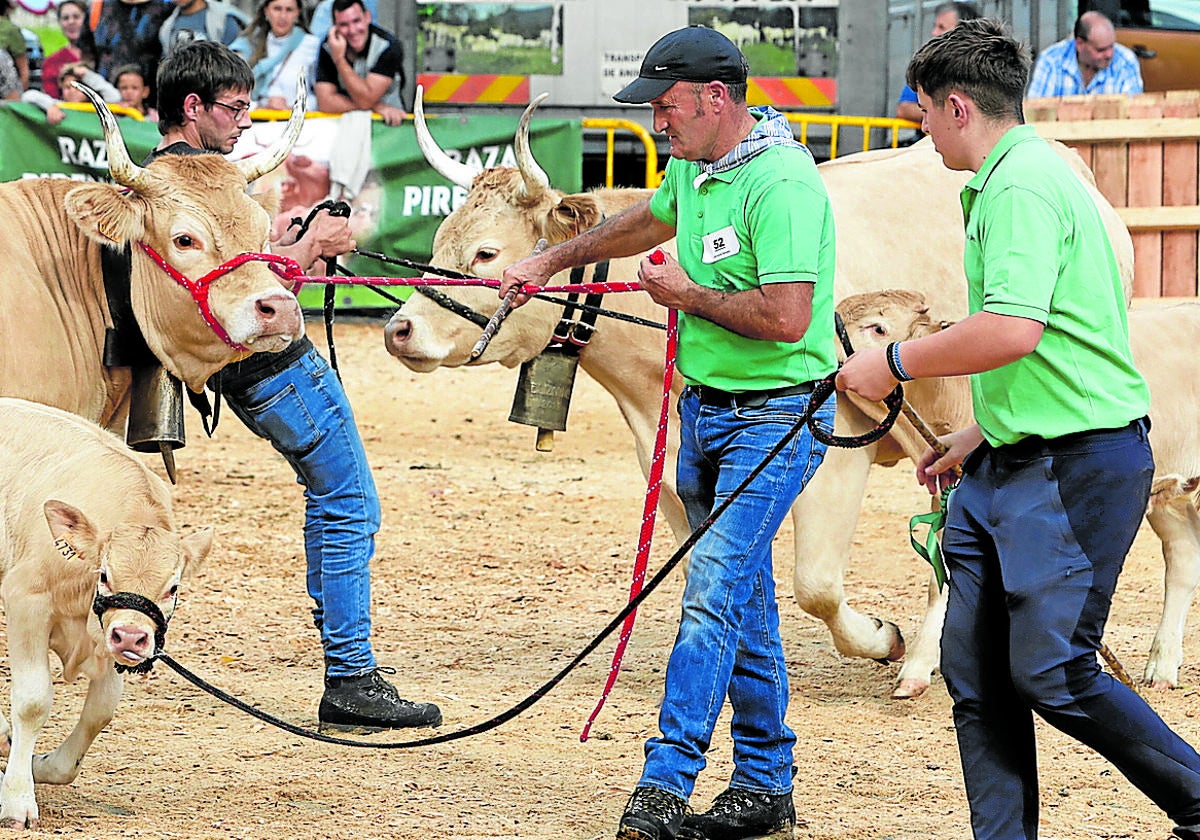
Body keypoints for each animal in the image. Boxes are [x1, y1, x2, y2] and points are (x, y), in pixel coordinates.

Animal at [0, 398, 211, 825]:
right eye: (105, 574)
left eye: (173, 587)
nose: (131, 636)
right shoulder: (25, 598)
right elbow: (32, 701)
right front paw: (17, 799)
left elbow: (101, 710)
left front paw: (42, 765)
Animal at [386, 88, 1132, 700]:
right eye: (439, 240)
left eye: (486, 253)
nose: (399, 328)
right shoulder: (672, 470)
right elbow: (710, 576)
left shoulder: (836, 450)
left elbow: (817, 586)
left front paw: (880, 640)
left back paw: (925, 659)